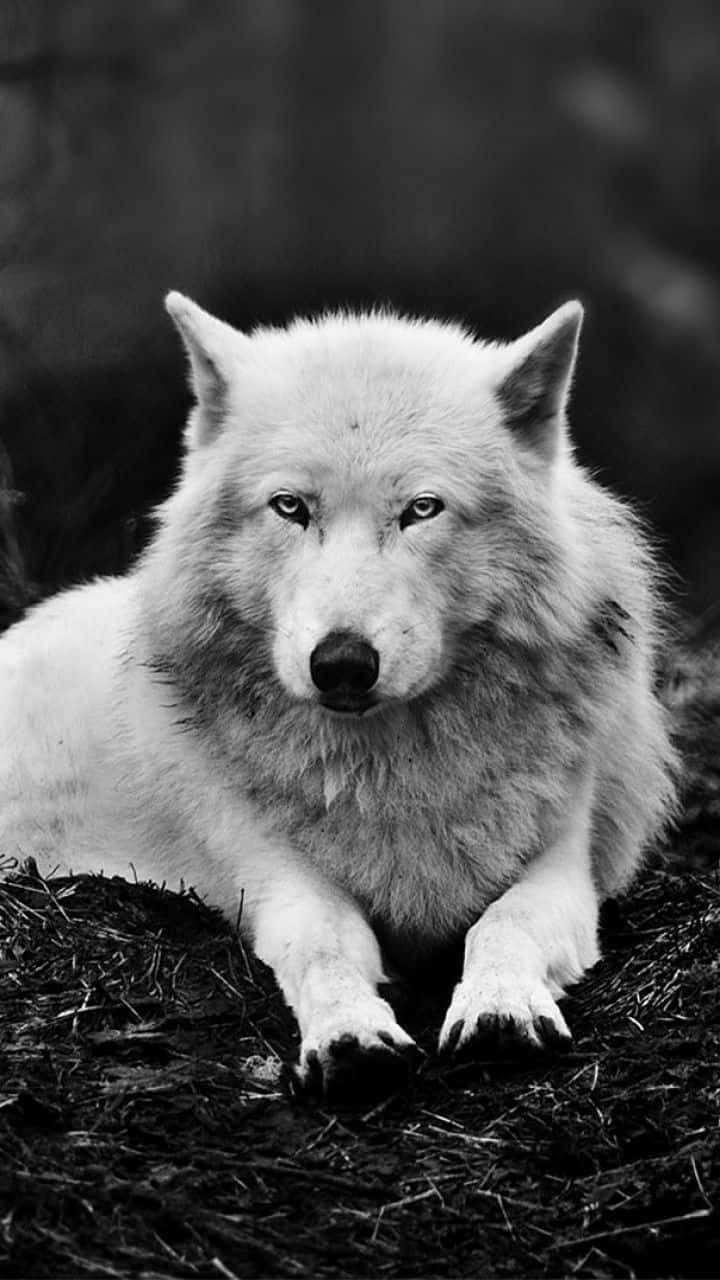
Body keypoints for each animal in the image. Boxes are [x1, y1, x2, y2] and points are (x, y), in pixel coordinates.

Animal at [0, 294, 676, 1095]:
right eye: (291, 506)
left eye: (422, 509)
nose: (343, 663)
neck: (393, 769)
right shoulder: (276, 876)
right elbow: (322, 945)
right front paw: (350, 1036)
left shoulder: (564, 864)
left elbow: (501, 924)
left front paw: (499, 1008)